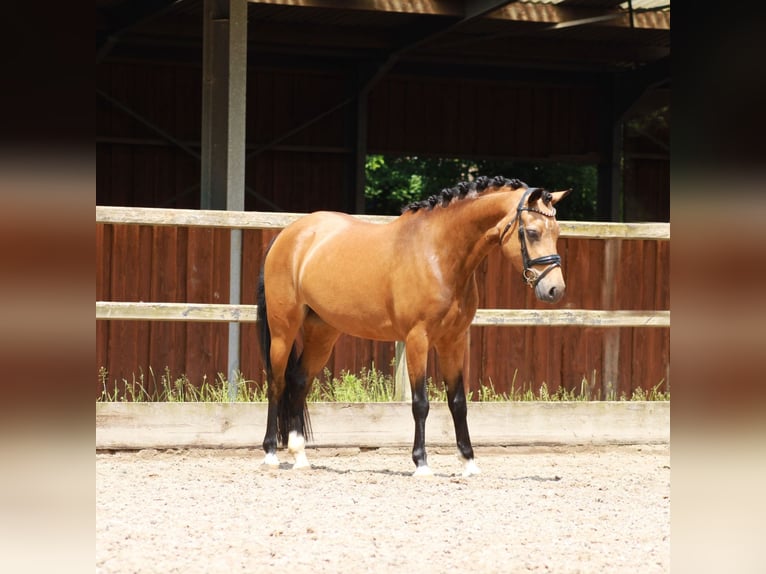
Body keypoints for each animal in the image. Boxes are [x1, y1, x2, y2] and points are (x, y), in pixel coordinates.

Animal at [258, 174, 568, 476]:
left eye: (556, 233)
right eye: (532, 232)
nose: (555, 290)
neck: (438, 254)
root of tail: (288, 235)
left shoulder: (453, 340)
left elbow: (458, 402)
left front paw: (468, 462)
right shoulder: (418, 339)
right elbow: (421, 403)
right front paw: (421, 463)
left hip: (322, 332)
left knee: (298, 381)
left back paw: (299, 456)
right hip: (283, 330)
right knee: (276, 383)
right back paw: (271, 453)